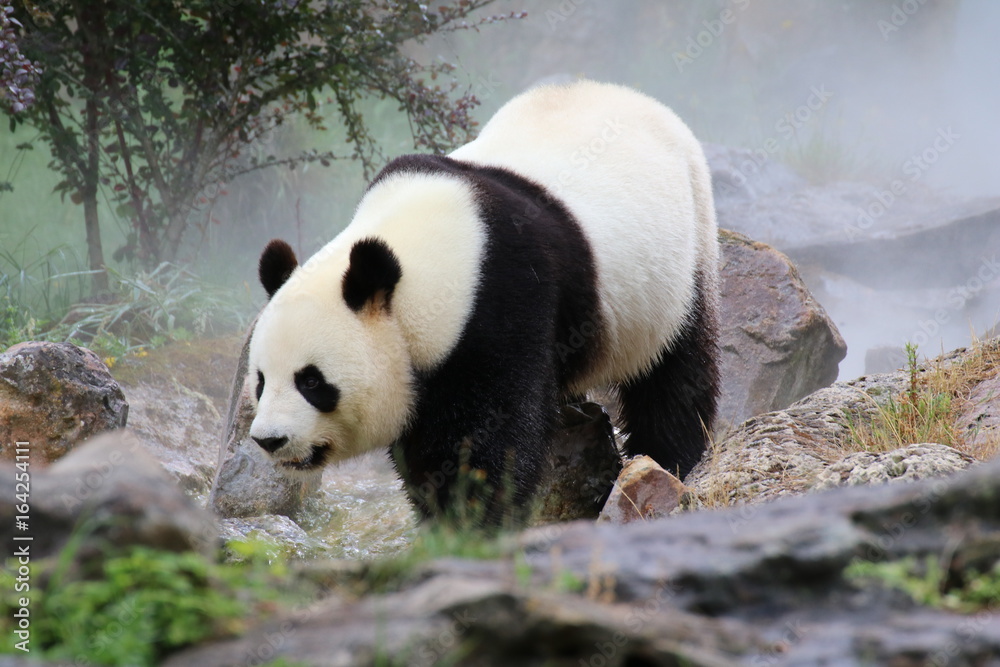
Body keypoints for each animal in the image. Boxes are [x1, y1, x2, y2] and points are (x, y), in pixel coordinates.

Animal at [248, 80, 719, 524]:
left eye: (312, 381)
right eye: (260, 380)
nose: (269, 439)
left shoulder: (500, 301)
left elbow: (489, 434)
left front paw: (470, 519)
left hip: (682, 254)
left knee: (676, 370)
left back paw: (668, 456)